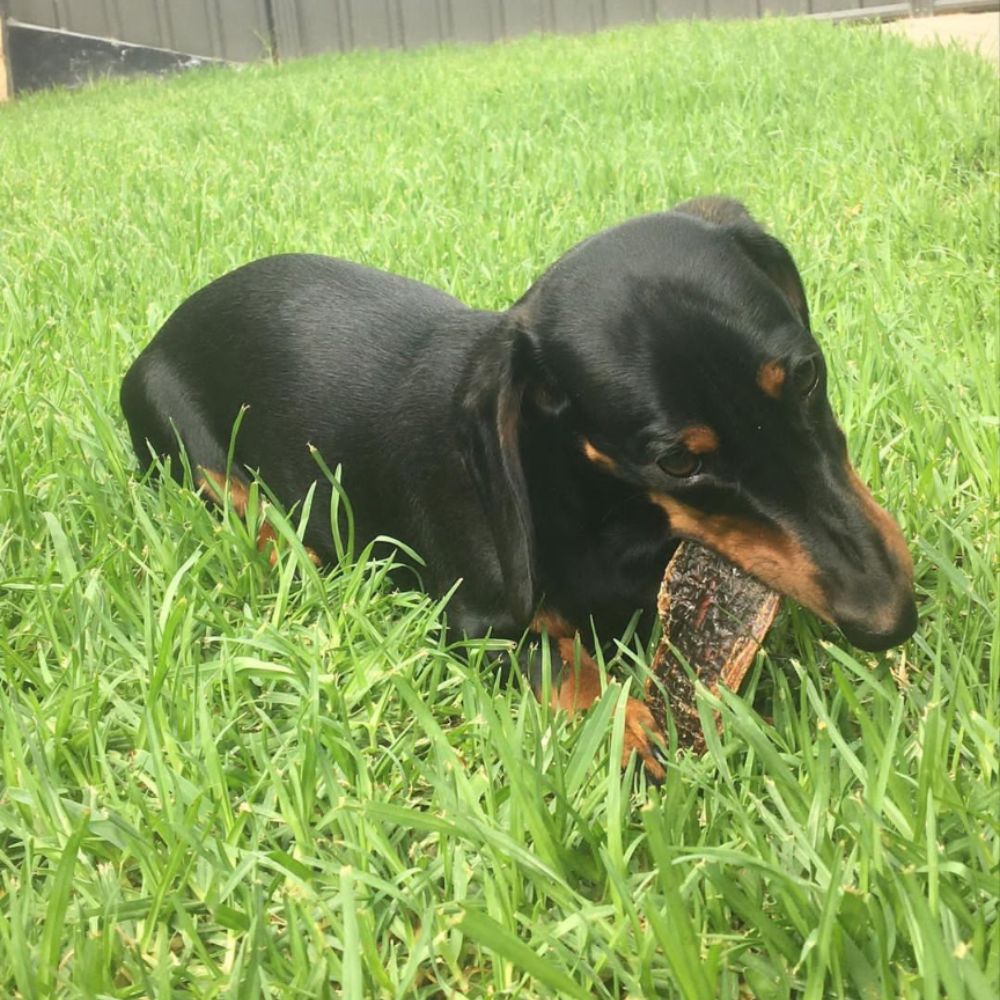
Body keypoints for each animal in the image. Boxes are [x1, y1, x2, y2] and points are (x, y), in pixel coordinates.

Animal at [121, 199, 916, 776]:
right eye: (675, 463)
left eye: (807, 374)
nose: (891, 619)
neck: (601, 506)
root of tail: (161, 333)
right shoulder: (475, 624)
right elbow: (563, 664)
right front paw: (629, 729)